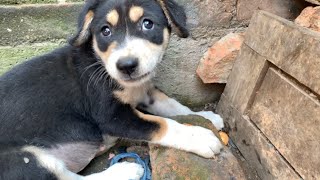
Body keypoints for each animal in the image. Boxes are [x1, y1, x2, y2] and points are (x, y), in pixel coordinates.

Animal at [0, 0, 224, 179]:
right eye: (105, 31)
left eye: (147, 24)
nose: (126, 66)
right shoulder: (111, 116)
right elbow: (161, 124)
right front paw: (198, 137)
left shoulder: (145, 92)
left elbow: (174, 106)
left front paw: (206, 117)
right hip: (23, 159)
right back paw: (125, 171)